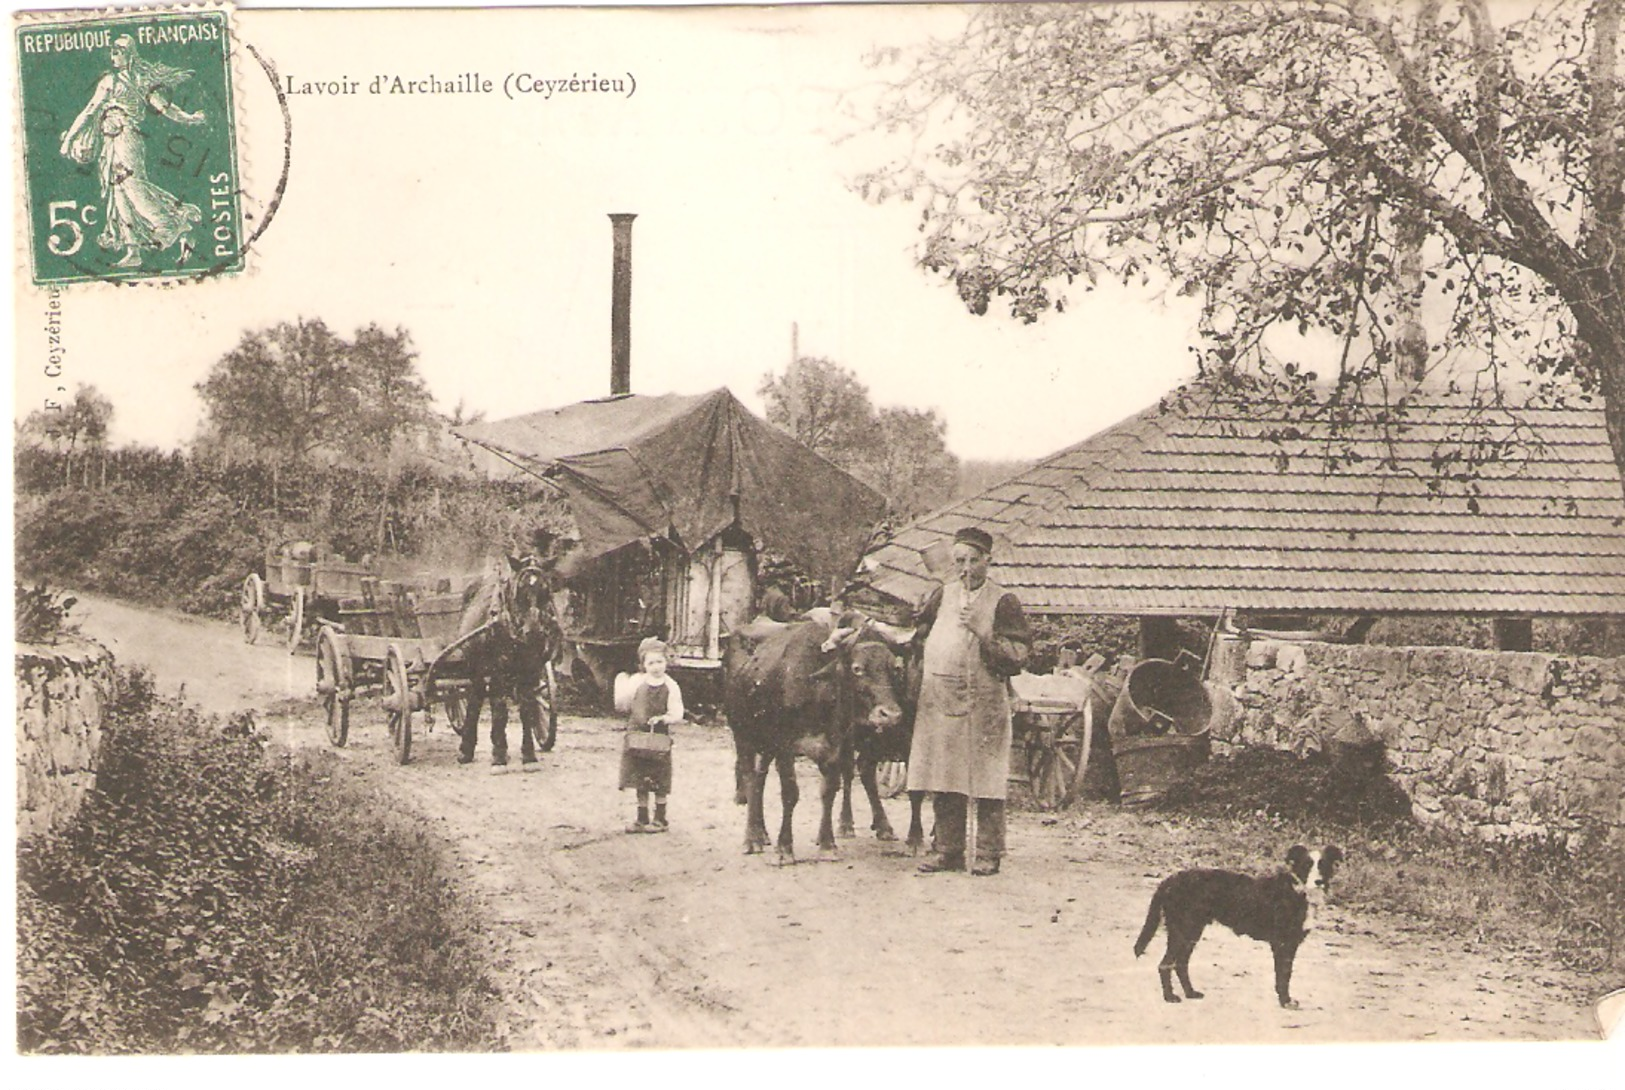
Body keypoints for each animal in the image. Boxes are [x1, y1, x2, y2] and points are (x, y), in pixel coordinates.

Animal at [728, 614, 910, 864]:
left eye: (894, 668)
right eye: (857, 668)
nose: (890, 714)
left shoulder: (835, 746)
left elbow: (829, 790)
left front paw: (827, 844)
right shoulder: (785, 747)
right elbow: (790, 793)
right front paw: (785, 848)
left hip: (767, 743)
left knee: (759, 778)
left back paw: (762, 833)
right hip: (743, 734)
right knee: (748, 777)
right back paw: (752, 839)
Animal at [1131, 844, 1345, 1013]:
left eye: (1323, 865)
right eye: (1307, 865)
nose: (1319, 882)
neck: (1296, 890)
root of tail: (1169, 880)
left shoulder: (1291, 945)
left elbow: (1287, 974)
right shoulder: (1282, 944)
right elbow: (1282, 976)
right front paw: (1285, 1001)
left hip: (1192, 932)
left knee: (1181, 964)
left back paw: (1190, 992)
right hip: (1181, 930)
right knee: (1165, 964)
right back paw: (1170, 996)